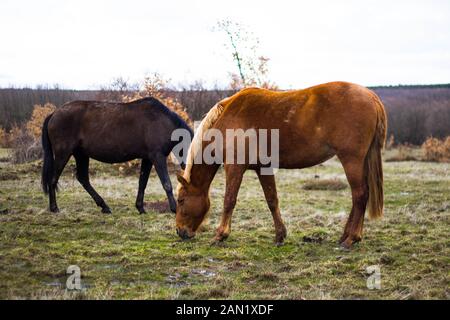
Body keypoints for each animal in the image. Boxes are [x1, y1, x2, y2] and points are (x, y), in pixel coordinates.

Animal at [176, 81, 386, 249]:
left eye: (180, 200)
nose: (180, 232)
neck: (227, 117)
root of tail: (371, 97)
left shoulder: (234, 167)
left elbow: (229, 201)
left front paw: (220, 234)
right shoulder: (263, 168)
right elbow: (272, 200)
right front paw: (280, 235)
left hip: (351, 160)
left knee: (360, 195)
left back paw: (352, 238)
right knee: (359, 196)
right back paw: (346, 236)